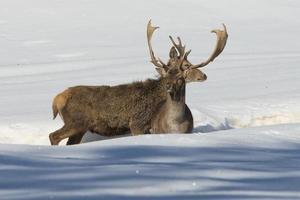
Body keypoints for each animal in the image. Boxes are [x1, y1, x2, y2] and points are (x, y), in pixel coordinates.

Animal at [49, 20, 227, 145]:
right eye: (187, 66)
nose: (203, 75)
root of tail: (57, 99)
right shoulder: (138, 122)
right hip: (77, 121)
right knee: (53, 136)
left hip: (79, 127)